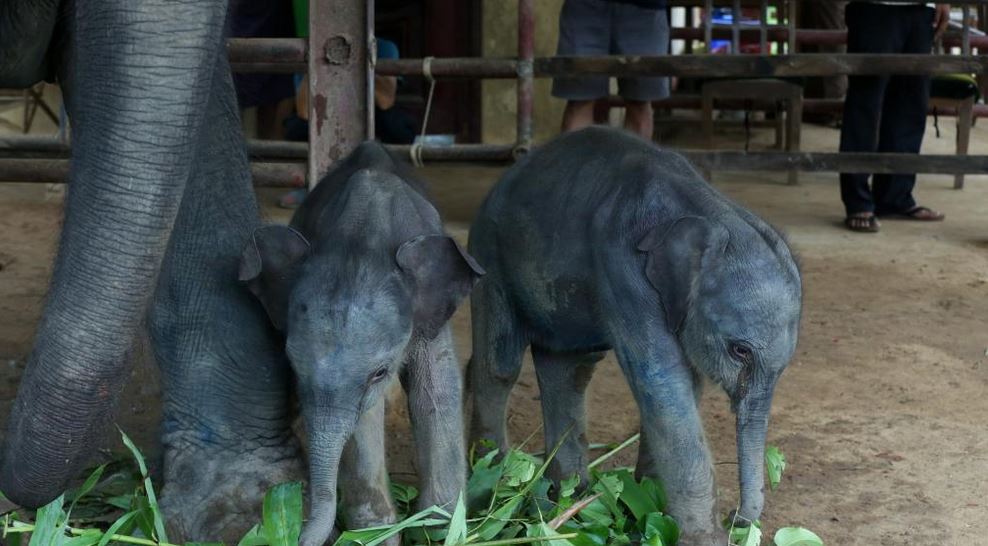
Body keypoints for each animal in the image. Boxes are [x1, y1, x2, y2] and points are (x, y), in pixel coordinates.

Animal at [241, 142, 484, 544]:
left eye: (379, 373)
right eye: (293, 365)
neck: (363, 233)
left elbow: (435, 391)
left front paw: (441, 527)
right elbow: (363, 421)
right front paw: (376, 532)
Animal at [466, 126, 800, 544]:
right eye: (739, 350)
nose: (738, 518)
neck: (710, 211)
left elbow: (684, 386)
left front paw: (647, 508)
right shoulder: (623, 268)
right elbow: (662, 383)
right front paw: (703, 538)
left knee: (568, 370)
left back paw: (569, 502)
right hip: (489, 255)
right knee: (501, 365)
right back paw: (490, 494)